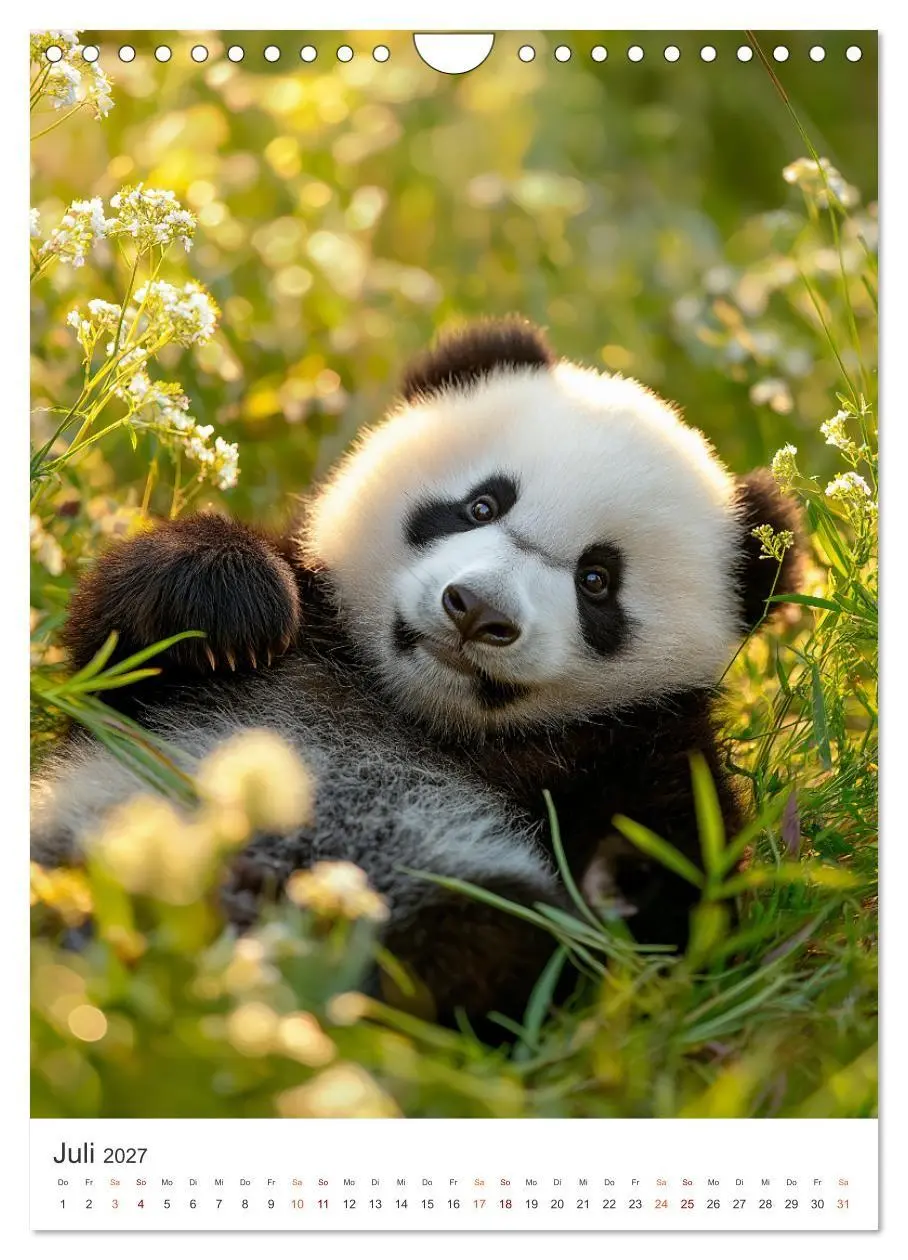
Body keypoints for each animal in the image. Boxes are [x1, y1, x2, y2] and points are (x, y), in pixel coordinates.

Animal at [31, 318, 801, 1025]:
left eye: (597, 581)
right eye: (481, 504)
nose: (477, 611)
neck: (415, 714)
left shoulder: (635, 743)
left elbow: (692, 913)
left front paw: (620, 879)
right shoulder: (256, 663)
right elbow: (108, 661)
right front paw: (227, 603)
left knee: (489, 940)